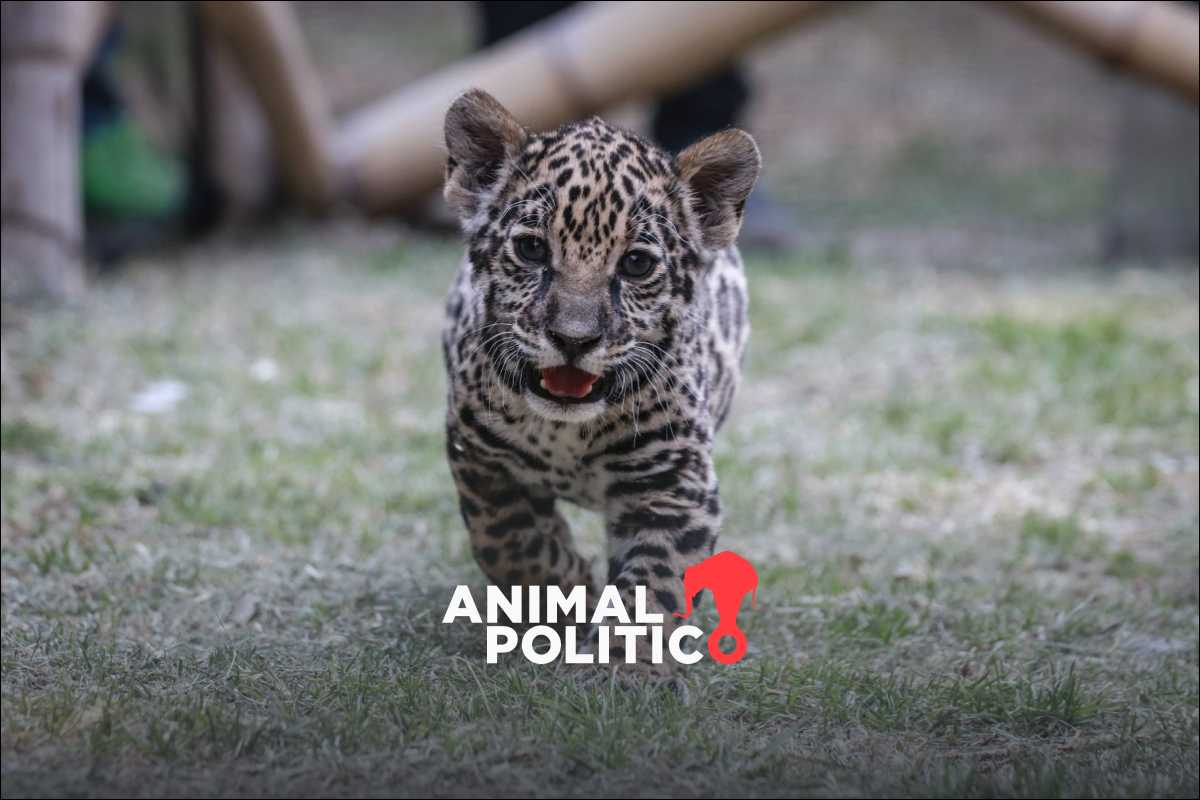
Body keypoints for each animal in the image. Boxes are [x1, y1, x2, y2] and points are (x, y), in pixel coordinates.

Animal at [441, 89, 758, 676]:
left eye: (635, 264)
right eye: (532, 250)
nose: (574, 338)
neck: (565, 432)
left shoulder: (675, 484)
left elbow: (653, 588)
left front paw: (628, 675)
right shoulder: (478, 457)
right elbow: (507, 542)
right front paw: (571, 594)